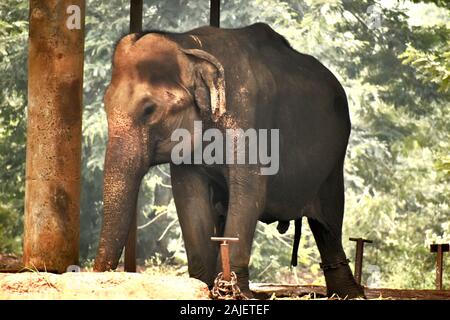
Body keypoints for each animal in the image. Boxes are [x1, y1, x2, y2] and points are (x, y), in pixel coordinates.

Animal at [93, 23, 364, 300]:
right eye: (105, 105)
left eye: (149, 109)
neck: (189, 44)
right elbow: (189, 197)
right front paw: (203, 287)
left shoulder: (247, 117)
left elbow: (248, 193)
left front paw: (235, 294)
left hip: (334, 157)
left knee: (329, 221)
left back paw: (350, 294)